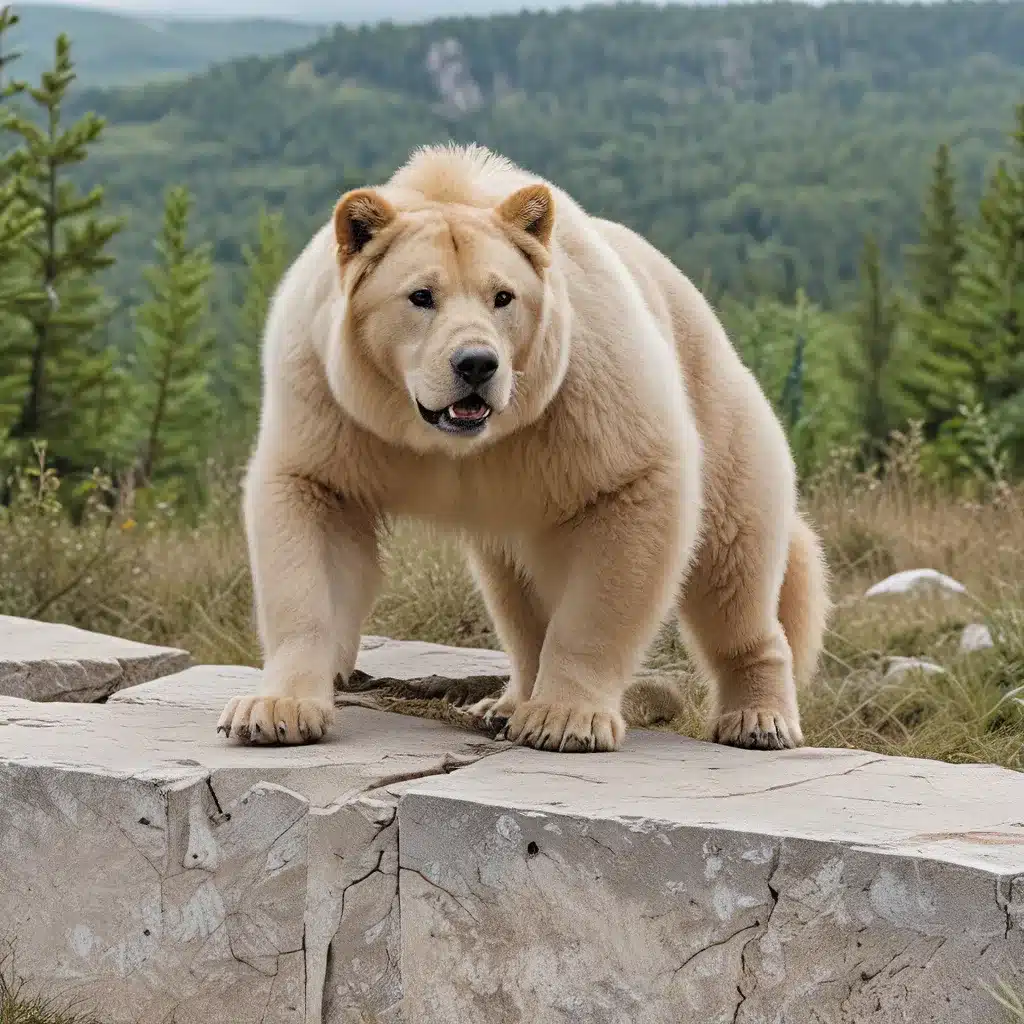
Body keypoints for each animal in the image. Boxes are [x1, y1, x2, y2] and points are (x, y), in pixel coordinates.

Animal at [218, 142, 831, 753]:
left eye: (503, 296)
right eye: (421, 295)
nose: (476, 364)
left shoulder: (580, 393)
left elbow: (627, 509)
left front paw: (566, 719)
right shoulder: (334, 408)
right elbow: (313, 518)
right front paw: (272, 711)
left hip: (715, 405)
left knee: (734, 566)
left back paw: (758, 718)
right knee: (513, 590)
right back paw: (504, 702)